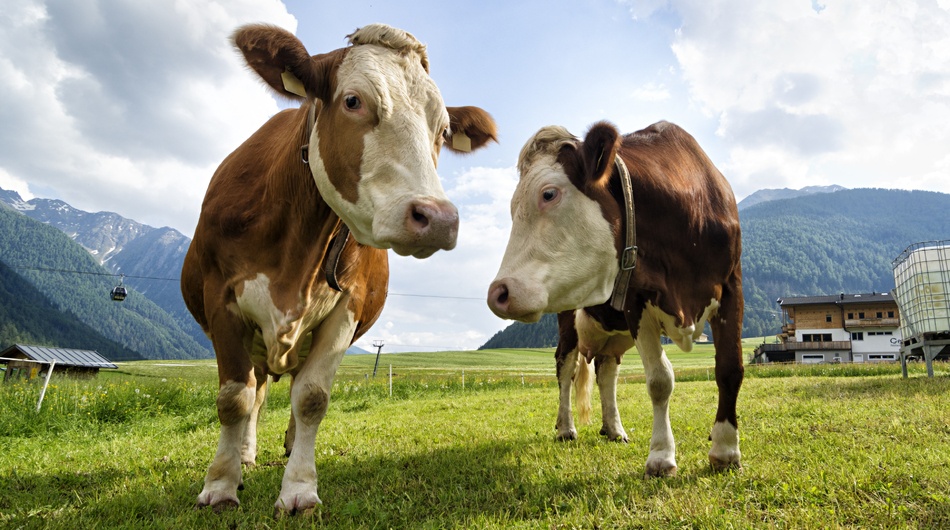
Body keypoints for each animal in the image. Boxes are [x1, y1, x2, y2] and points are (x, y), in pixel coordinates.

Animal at [184, 23, 498, 512]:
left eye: (444, 129)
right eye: (353, 101)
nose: (438, 218)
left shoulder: (346, 307)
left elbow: (312, 397)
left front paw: (298, 489)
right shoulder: (221, 299)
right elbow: (235, 398)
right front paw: (219, 484)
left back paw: (288, 444)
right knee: (258, 390)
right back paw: (247, 455)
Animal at [490, 119, 744, 474]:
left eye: (548, 194)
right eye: (513, 207)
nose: (498, 292)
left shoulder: (732, 285)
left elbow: (730, 369)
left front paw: (726, 450)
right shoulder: (637, 301)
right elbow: (659, 380)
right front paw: (661, 457)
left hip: (614, 330)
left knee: (606, 369)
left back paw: (614, 428)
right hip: (569, 321)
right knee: (566, 368)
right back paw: (566, 428)